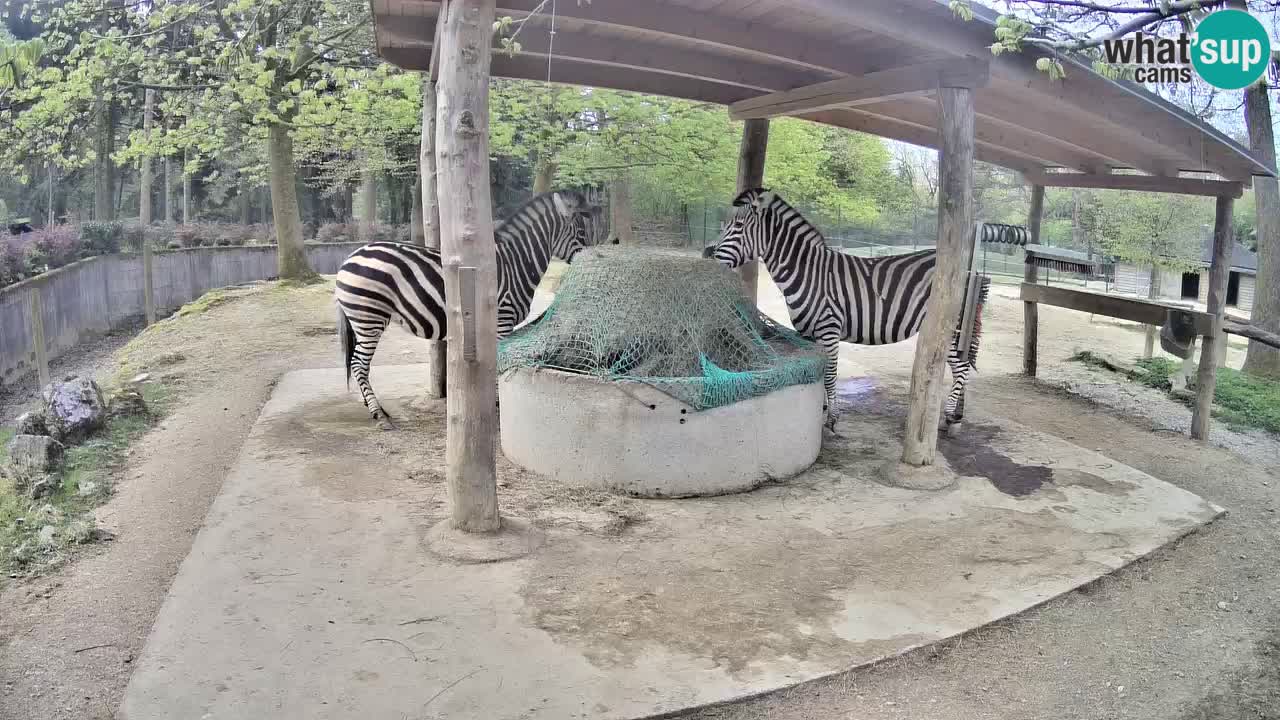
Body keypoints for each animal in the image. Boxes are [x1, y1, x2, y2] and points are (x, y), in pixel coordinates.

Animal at [336, 190, 614, 426]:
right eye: (581, 231)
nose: (596, 262)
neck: (516, 263)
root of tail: (350, 257)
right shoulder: (502, 321)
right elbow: (498, 363)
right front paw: (497, 405)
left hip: (363, 320)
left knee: (357, 364)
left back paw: (373, 407)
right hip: (369, 318)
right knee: (359, 364)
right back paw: (379, 414)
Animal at [703, 188, 989, 432]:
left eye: (738, 227)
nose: (708, 255)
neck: (808, 273)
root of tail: (968, 271)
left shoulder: (828, 328)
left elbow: (830, 374)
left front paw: (832, 418)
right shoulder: (808, 333)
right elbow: (817, 371)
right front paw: (819, 409)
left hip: (951, 327)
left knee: (961, 368)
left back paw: (950, 417)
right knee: (962, 367)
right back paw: (957, 415)